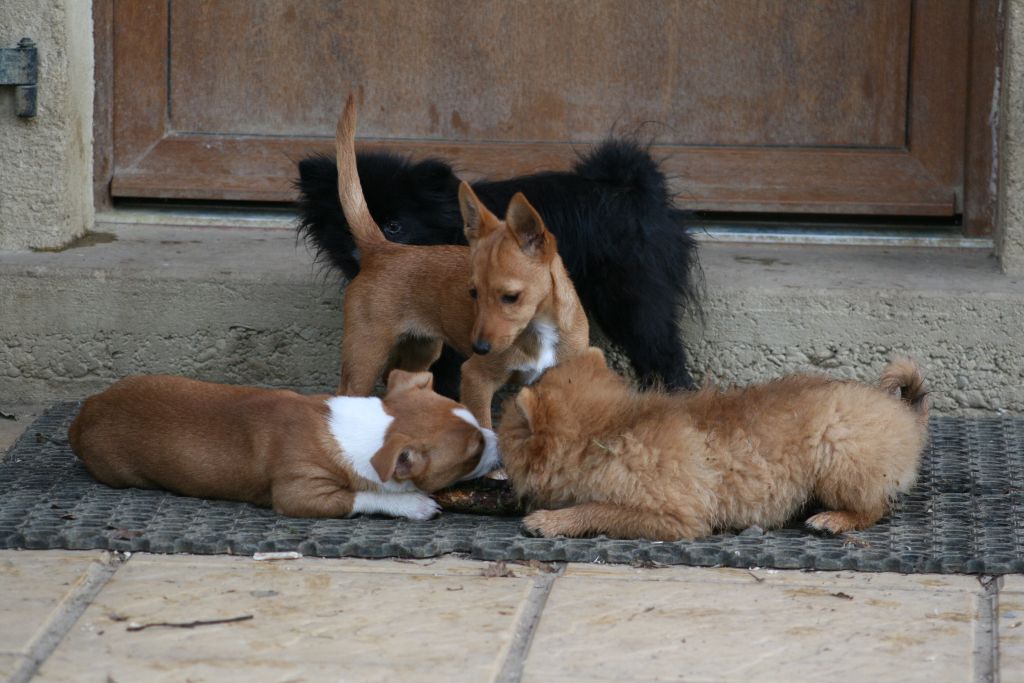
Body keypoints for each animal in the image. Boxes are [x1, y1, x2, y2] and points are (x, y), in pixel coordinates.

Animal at [68, 370, 499, 520]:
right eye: (474, 452)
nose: (500, 439)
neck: (370, 428)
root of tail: (84, 412)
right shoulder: (301, 493)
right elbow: (363, 495)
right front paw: (411, 503)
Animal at [292, 138, 700, 395]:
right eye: (342, 225)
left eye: (395, 226)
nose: (360, 249)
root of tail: (632, 190)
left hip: (630, 299)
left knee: (663, 352)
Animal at [331, 94, 589, 428]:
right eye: (473, 293)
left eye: (511, 297)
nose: (479, 347)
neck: (540, 328)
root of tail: (382, 247)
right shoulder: (476, 380)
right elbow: (487, 433)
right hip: (363, 358)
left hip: (420, 353)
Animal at [499, 350, 933, 540]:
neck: (611, 429)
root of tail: (906, 416)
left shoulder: (677, 517)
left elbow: (596, 510)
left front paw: (550, 521)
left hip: (838, 452)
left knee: (875, 507)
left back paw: (835, 519)